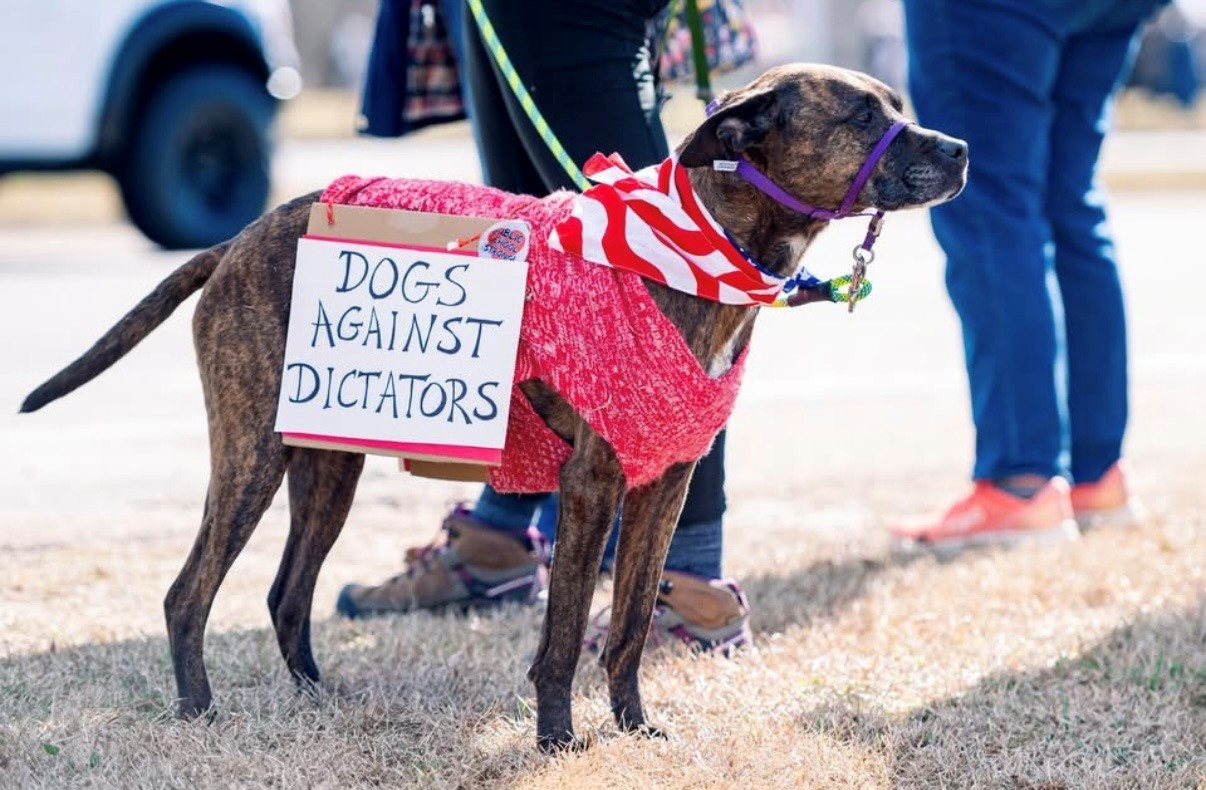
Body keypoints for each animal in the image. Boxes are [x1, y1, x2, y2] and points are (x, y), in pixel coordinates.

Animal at [21, 64, 967, 750]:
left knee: (287, 594)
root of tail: (234, 241)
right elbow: (563, 634)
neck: (703, 248)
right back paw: (200, 714)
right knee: (189, 594)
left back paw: (316, 700)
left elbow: (628, 625)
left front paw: (634, 727)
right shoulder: (592, 486)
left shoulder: (664, 488)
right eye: (859, 116)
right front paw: (556, 741)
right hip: (254, 454)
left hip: (327, 465)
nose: (960, 148)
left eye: (896, 105)